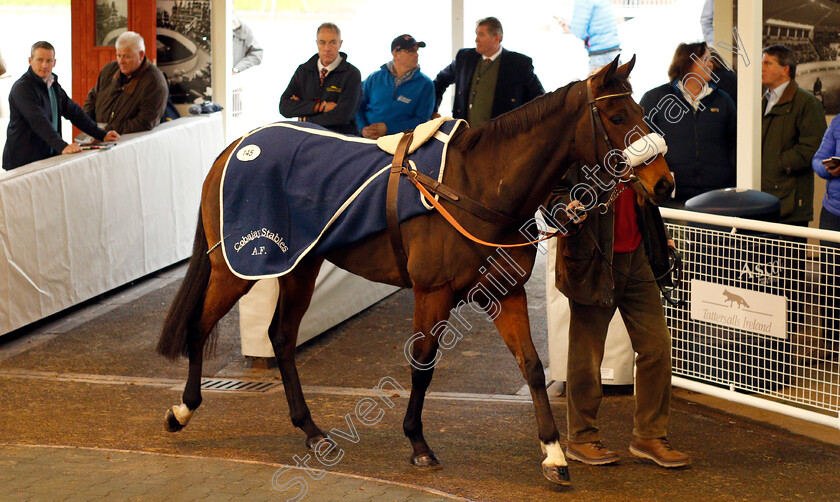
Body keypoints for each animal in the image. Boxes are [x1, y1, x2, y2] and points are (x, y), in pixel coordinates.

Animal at [156, 56, 668, 486]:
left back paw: (310, 428)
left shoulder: (506, 293)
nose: (663, 181)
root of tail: (234, 147)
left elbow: (532, 367)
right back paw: (182, 410)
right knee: (200, 326)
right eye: (617, 116)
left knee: (281, 338)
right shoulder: (432, 291)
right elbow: (423, 364)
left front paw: (554, 454)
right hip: (237, 267)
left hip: (299, 265)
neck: (473, 185)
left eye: (641, 109)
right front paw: (418, 443)